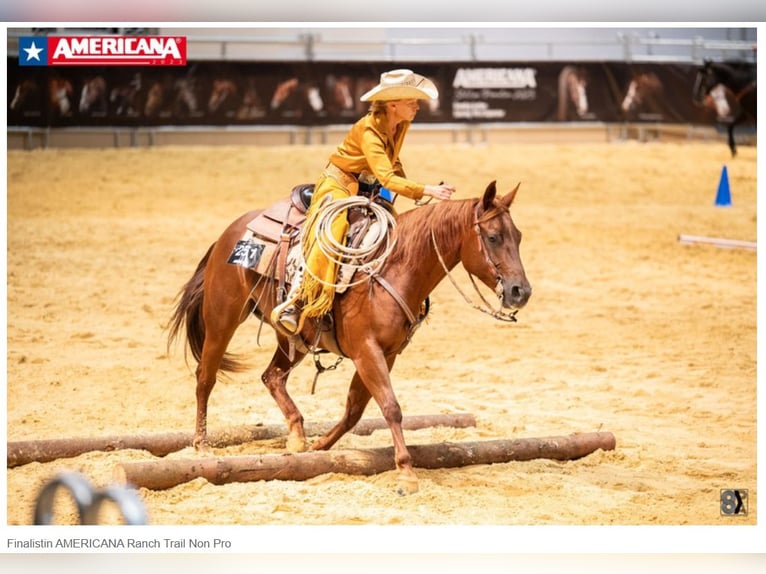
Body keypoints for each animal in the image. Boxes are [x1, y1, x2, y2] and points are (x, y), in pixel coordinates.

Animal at [166, 181, 536, 496]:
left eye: (518, 236)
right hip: (223, 318)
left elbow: (355, 410)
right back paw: (202, 444)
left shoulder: (386, 354)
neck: (396, 267)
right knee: (205, 377)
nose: (521, 291)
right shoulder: (366, 351)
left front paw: (319, 448)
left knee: (272, 376)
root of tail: (230, 232)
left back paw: (297, 435)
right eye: (492, 237)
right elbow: (391, 407)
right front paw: (406, 474)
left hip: (295, 337)